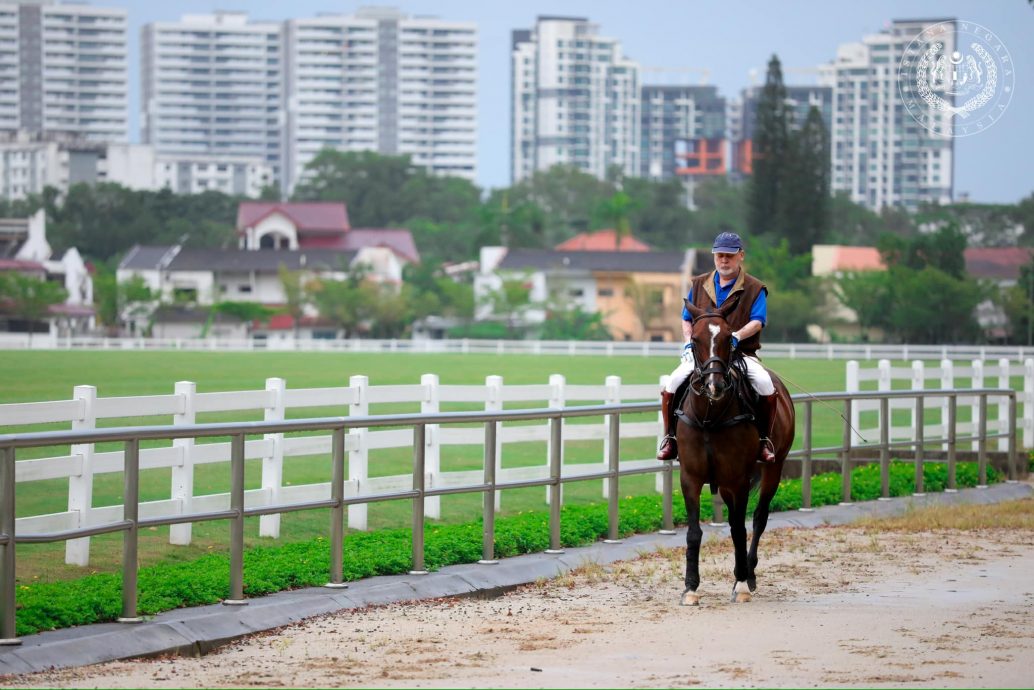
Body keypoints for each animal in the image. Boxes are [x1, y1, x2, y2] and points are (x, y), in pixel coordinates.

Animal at [674, 302, 794, 604]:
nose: (714, 385)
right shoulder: (690, 477)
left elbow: (741, 529)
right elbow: (694, 532)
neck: (710, 416)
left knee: (759, 518)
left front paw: (740, 584)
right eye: (695, 340)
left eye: (729, 338)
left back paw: (748, 574)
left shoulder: (739, 478)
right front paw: (690, 587)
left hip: (773, 468)